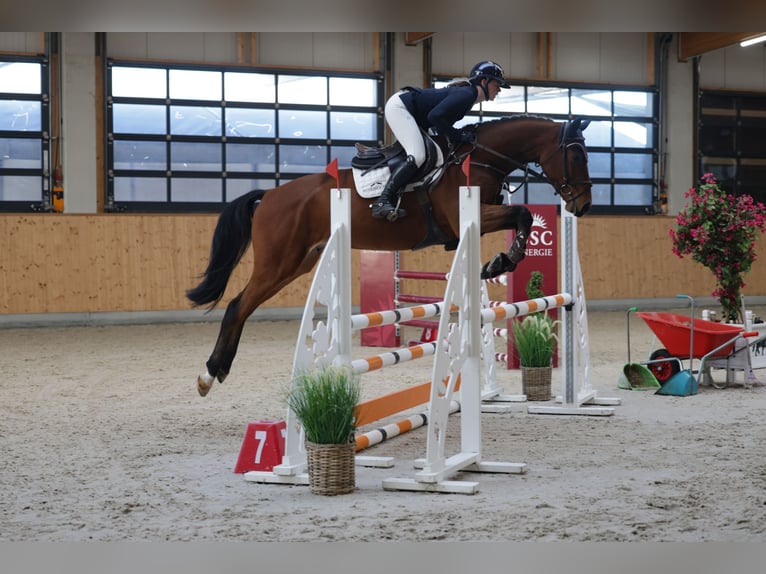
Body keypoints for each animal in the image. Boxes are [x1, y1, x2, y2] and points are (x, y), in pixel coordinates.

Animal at [188, 115, 592, 398]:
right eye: (576, 154)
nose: (583, 205)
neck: (482, 159)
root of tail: (269, 196)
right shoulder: (467, 216)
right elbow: (523, 213)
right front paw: (503, 260)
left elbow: (522, 215)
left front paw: (499, 261)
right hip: (279, 263)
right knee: (237, 305)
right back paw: (210, 373)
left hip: (299, 261)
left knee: (242, 305)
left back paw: (215, 371)